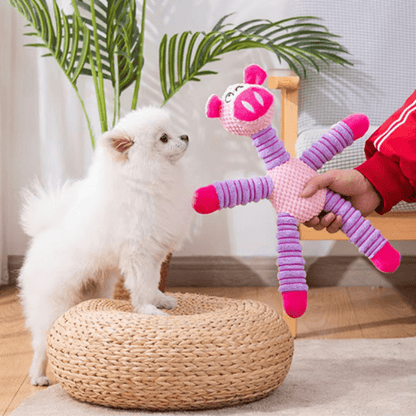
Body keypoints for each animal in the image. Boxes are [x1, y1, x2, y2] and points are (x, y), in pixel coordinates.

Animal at [19, 107, 192, 386]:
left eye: (173, 131)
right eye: (164, 138)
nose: (185, 136)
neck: (147, 179)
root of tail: (42, 233)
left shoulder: (154, 254)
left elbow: (153, 282)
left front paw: (160, 300)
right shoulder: (138, 254)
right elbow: (141, 287)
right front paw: (148, 310)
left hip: (92, 287)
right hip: (53, 301)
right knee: (41, 342)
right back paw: (37, 376)